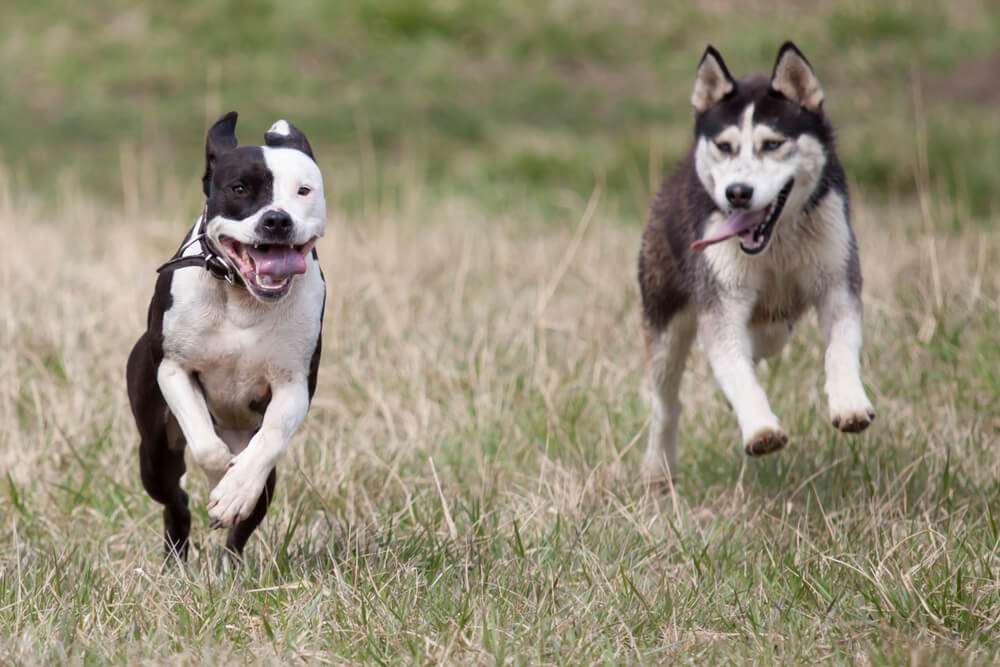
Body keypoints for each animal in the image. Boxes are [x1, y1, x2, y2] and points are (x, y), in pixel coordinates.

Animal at [127, 111, 326, 560]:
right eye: (239, 189)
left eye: (303, 190)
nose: (277, 219)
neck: (242, 297)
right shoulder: (173, 370)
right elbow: (206, 445)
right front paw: (221, 479)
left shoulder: (294, 385)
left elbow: (271, 437)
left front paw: (233, 491)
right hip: (155, 452)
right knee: (175, 498)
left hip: (264, 480)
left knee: (243, 525)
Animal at [640, 41, 876, 480]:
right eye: (724, 146)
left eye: (772, 143)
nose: (737, 192)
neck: (776, 244)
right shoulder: (721, 301)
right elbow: (734, 367)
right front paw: (761, 428)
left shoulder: (836, 279)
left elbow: (840, 347)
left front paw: (849, 403)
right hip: (664, 318)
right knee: (667, 401)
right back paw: (657, 466)